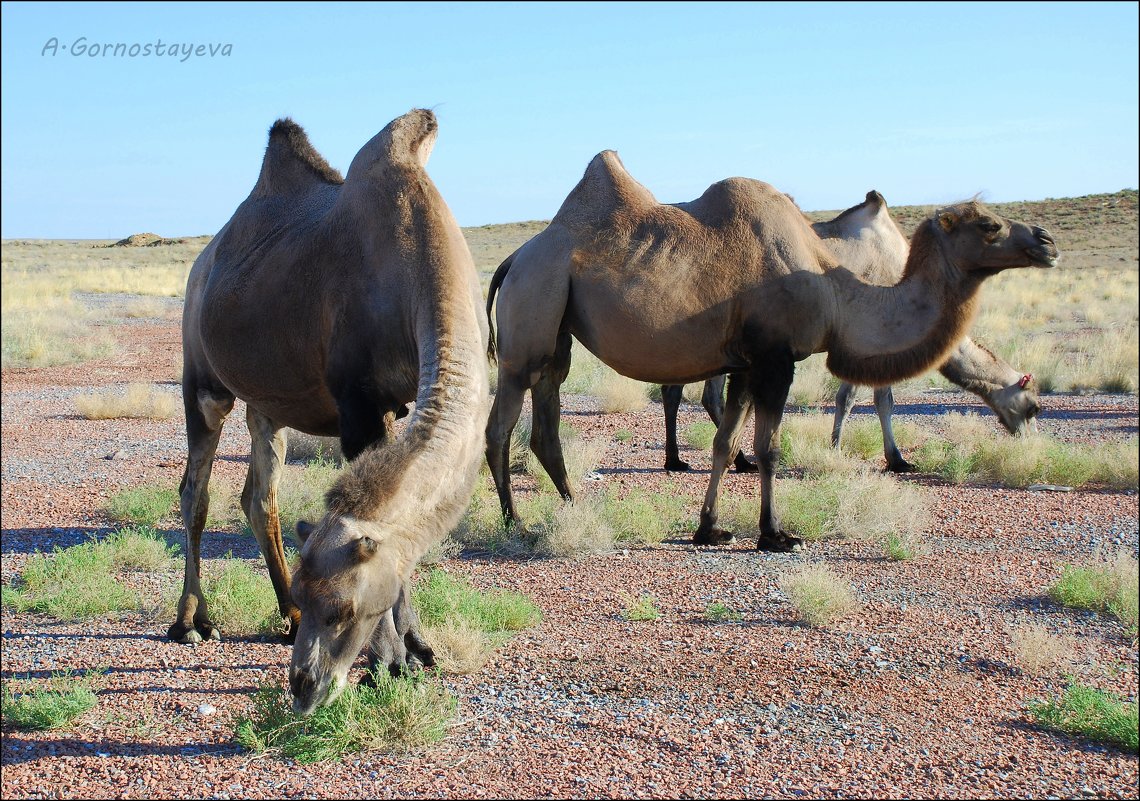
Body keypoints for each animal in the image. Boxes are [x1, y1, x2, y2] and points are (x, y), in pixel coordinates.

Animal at [171, 106, 487, 715]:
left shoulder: (393, 403)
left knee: (258, 497)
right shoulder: (358, 404)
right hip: (203, 379)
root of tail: (203, 262)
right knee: (195, 492)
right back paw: (192, 622)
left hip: (266, 404)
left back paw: (284, 618)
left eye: (341, 610)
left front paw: (418, 648)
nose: (302, 686)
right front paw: (392, 662)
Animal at [661, 191, 1044, 473]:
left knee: (678, 389)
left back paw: (681, 459)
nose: (1030, 444)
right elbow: (869, 399)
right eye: (1033, 407)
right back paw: (731, 460)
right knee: (702, 393)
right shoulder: (872, 342)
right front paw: (888, 457)